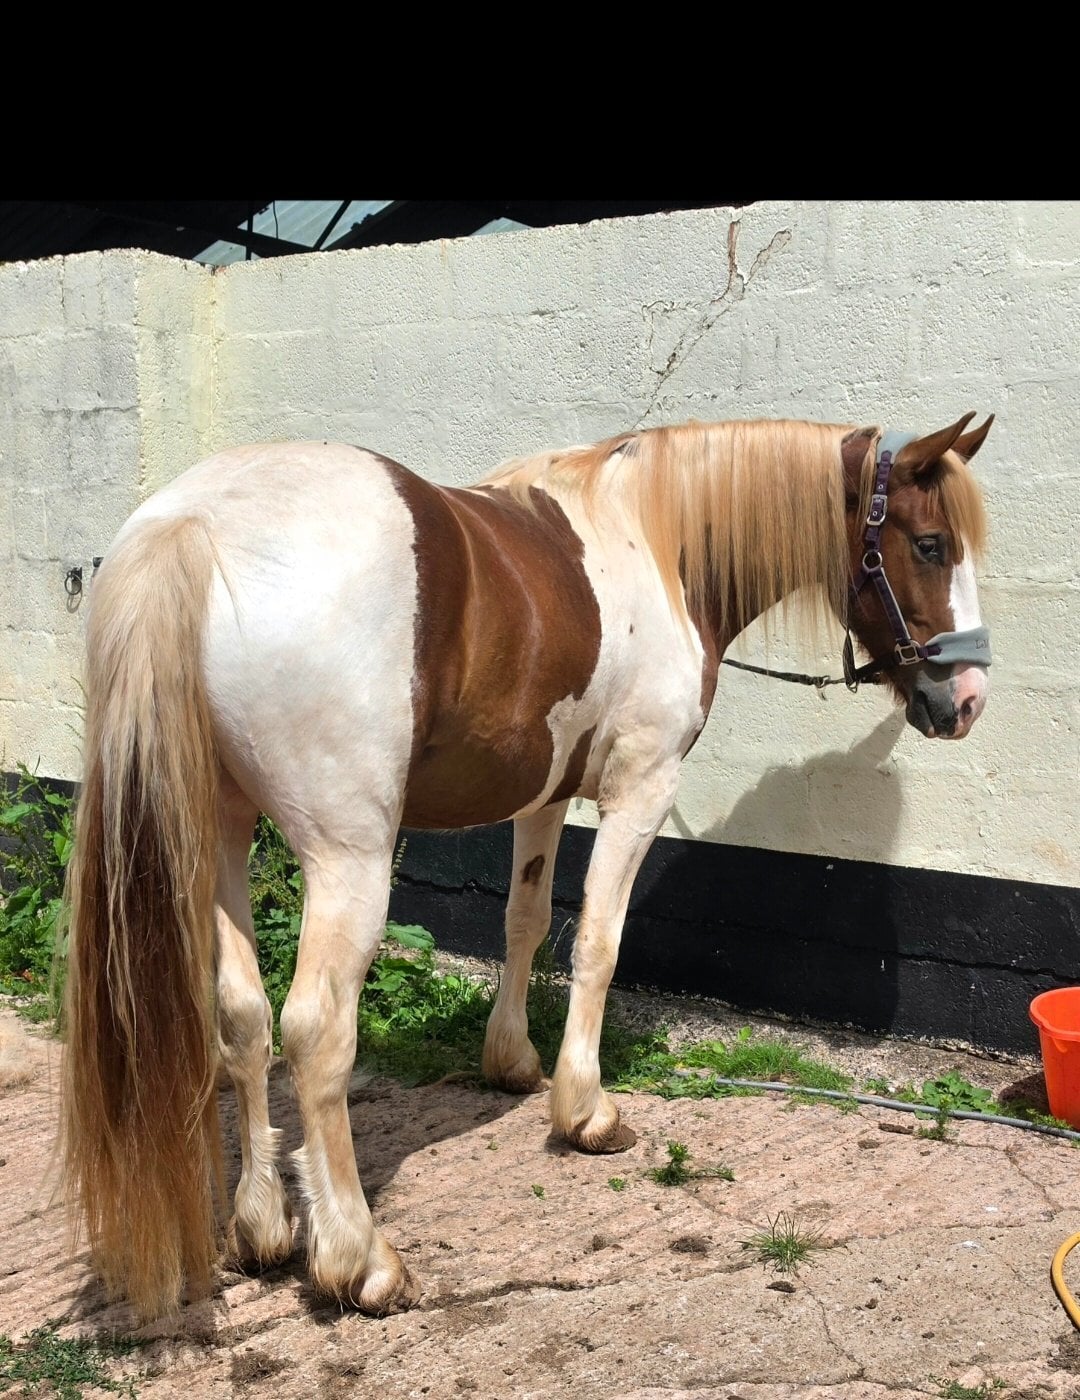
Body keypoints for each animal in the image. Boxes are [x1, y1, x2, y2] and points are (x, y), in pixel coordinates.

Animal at [60, 411, 993, 1321]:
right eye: (930, 543)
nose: (968, 701)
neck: (657, 539)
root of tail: (196, 522)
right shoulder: (640, 792)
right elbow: (599, 946)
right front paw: (585, 1110)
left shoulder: (544, 793)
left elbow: (527, 920)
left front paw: (510, 1061)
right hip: (347, 856)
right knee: (316, 1033)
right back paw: (360, 1261)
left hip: (220, 833)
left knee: (242, 1016)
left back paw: (261, 1227)